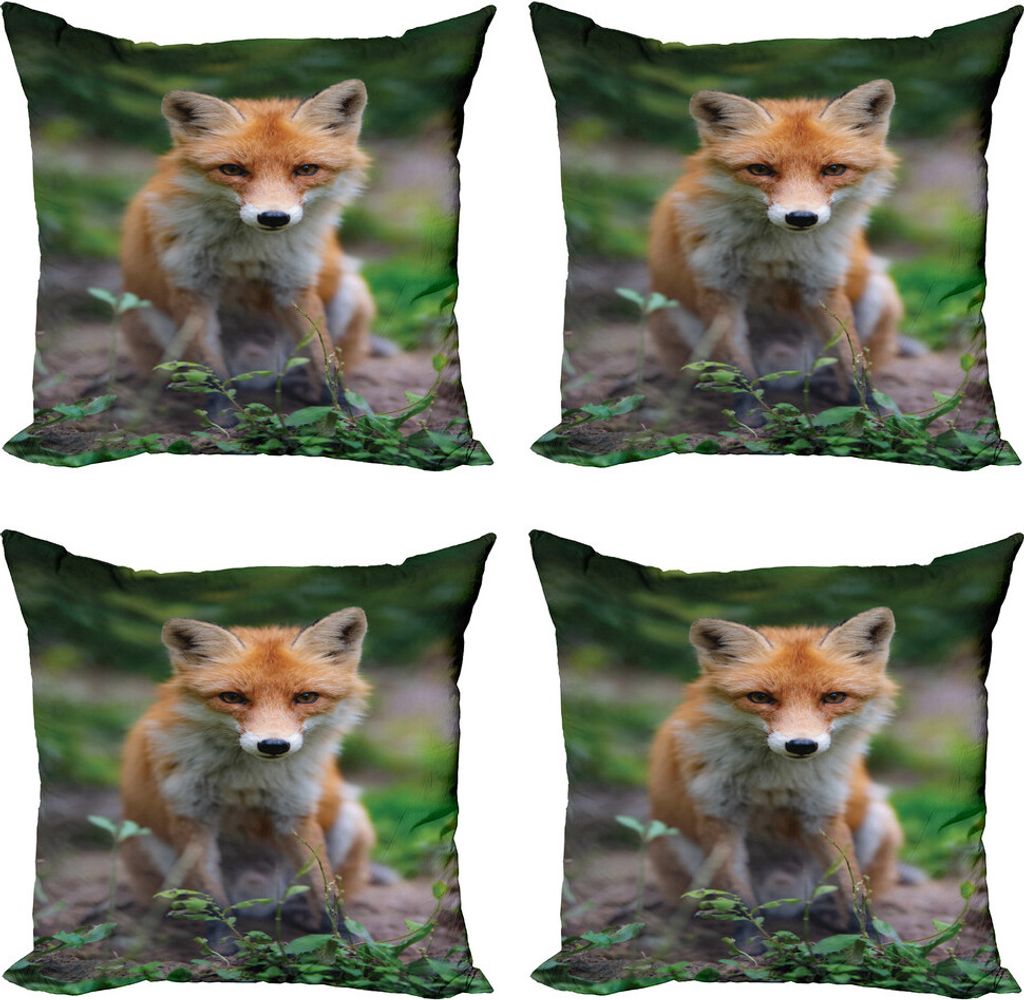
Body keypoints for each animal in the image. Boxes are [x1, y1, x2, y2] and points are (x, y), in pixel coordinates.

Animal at [120, 81, 376, 404]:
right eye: (232, 169)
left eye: (306, 169)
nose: (273, 217)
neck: (247, 252)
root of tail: (257, 375)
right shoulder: (191, 286)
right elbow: (211, 374)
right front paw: (224, 412)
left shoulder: (293, 283)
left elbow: (323, 358)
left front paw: (339, 409)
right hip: (142, 311)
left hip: (351, 292)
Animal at [120, 608, 375, 934]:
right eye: (232, 697)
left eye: (306, 697)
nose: (273, 745)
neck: (247, 780)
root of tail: (258, 901)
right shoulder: (192, 813)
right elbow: (211, 900)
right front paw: (225, 941)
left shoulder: (294, 810)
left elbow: (324, 886)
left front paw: (340, 938)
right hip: (142, 840)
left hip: (351, 820)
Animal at [648, 80, 903, 410]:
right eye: (760, 169)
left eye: (834, 170)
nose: (801, 217)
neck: (775, 252)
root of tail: (786, 372)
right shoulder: (719, 287)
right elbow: (740, 373)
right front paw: (752, 414)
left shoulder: (821, 284)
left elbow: (853, 360)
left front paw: (869, 410)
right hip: (671, 311)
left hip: (879, 292)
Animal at [648, 607, 902, 934]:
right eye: (760, 697)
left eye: (834, 697)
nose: (801, 745)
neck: (775, 780)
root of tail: (786, 901)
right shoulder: (720, 813)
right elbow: (739, 900)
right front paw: (752, 941)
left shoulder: (821, 811)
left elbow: (852, 887)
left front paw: (868, 937)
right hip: (670, 840)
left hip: (879, 820)